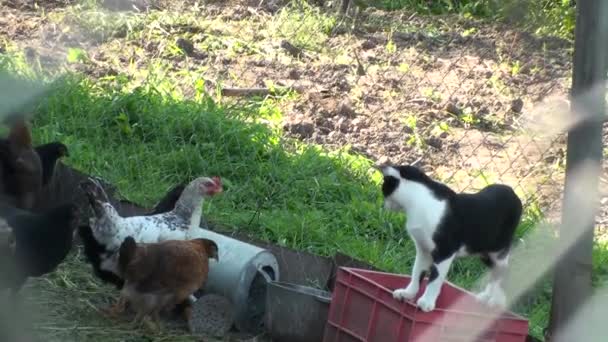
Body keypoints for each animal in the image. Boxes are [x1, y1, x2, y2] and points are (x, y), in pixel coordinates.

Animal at [376, 164, 524, 312]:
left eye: (383, 187)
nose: (383, 205)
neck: (417, 202)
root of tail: (512, 191)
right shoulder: (423, 249)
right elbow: (417, 272)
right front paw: (407, 293)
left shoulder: (445, 251)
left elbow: (435, 278)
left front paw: (426, 303)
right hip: (485, 251)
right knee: (496, 271)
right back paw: (486, 297)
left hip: (498, 250)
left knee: (504, 271)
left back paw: (497, 301)